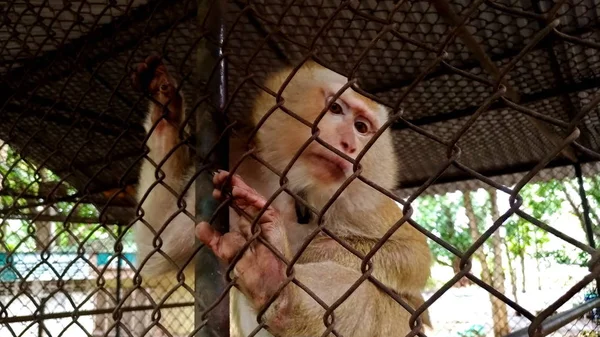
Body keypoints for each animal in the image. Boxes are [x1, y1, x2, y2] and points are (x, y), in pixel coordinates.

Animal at [195, 61, 434, 336]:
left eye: (362, 128)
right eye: (335, 108)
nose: (349, 145)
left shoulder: (363, 201)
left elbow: (413, 256)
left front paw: (316, 248)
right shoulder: (238, 158)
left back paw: (279, 291)